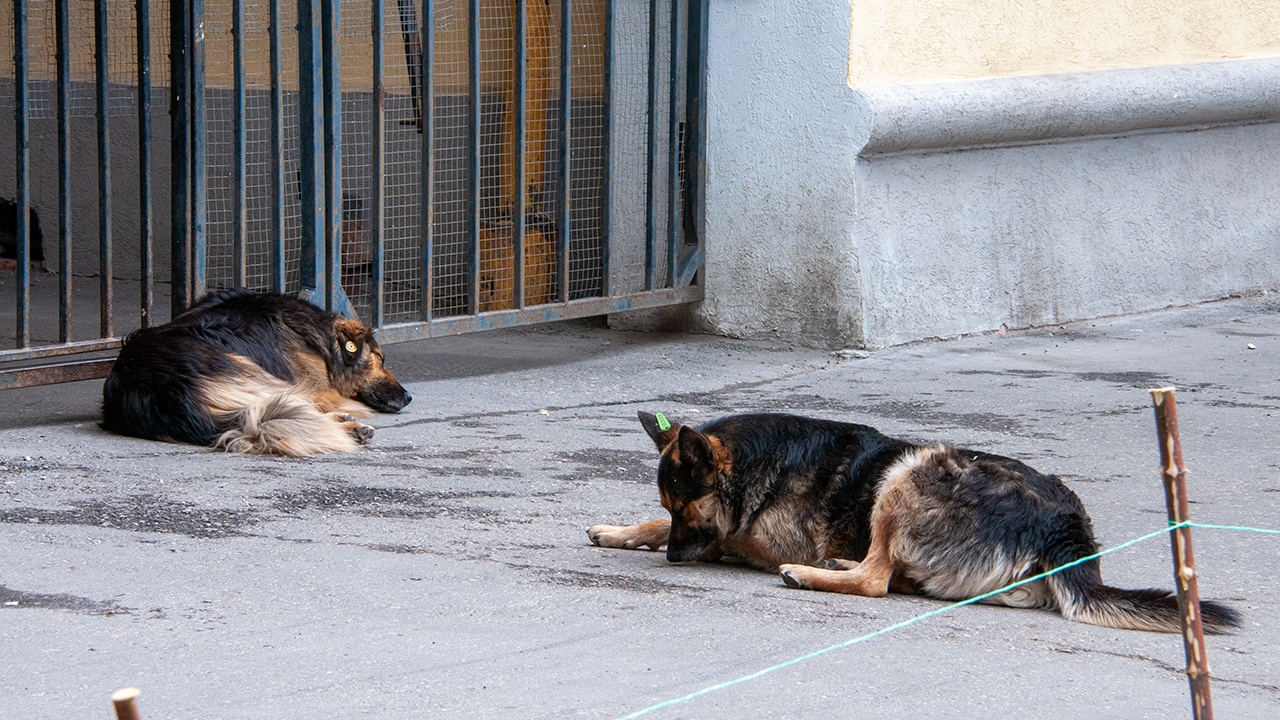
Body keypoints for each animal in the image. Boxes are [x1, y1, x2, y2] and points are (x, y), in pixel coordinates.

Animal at [588, 412, 1239, 630]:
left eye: (686, 507)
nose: (675, 560)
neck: (759, 460)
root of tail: (1067, 528)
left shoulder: (758, 536)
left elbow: (725, 538)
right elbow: (651, 527)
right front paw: (621, 532)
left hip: (911, 468)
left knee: (878, 579)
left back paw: (813, 573)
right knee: (893, 575)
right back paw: (841, 563)